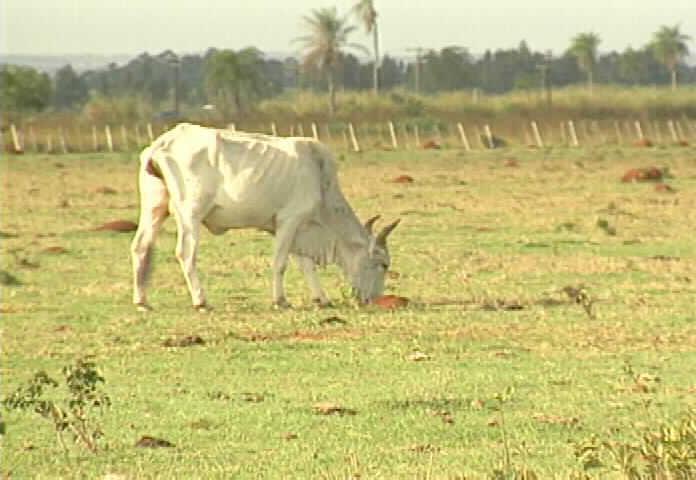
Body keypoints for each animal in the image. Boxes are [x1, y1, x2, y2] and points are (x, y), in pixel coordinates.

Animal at [131, 123, 400, 312]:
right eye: (383, 264)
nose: (375, 300)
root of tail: (161, 144)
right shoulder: (289, 221)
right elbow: (280, 263)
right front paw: (280, 300)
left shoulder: (297, 230)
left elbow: (306, 265)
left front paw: (321, 298)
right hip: (190, 214)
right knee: (185, 253)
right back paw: (201, 301)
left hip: (155, 207)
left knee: (140, 246)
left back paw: (142, 301)